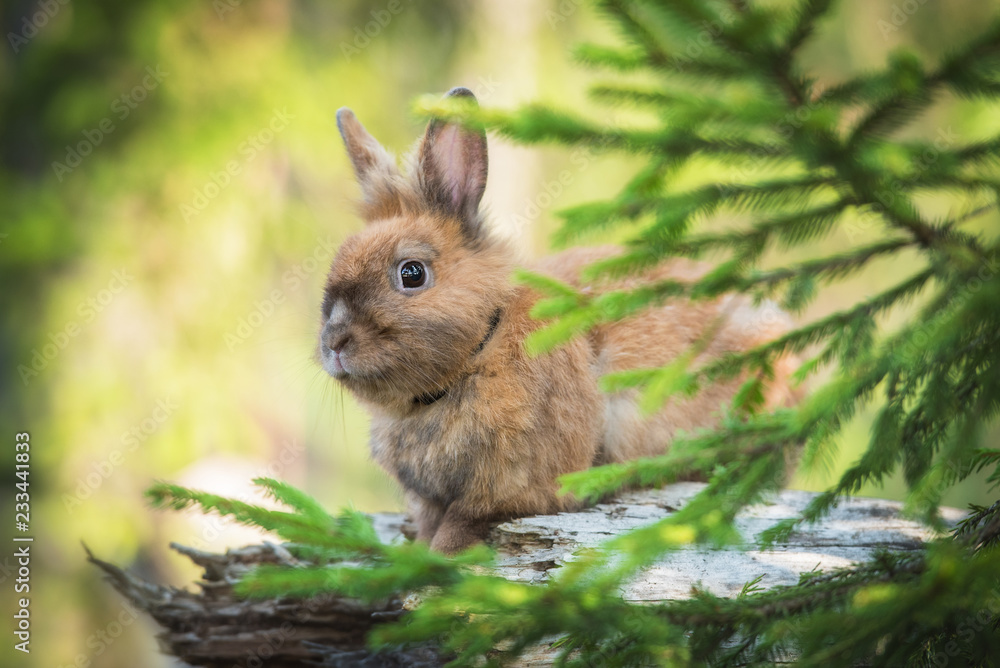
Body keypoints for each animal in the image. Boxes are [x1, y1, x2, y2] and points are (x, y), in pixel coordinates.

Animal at [319, 87, 800, 554]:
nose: (335, 343)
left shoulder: (511, 487)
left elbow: (464, 520)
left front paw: (442, 556)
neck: (481, 348)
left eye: (412, 273)